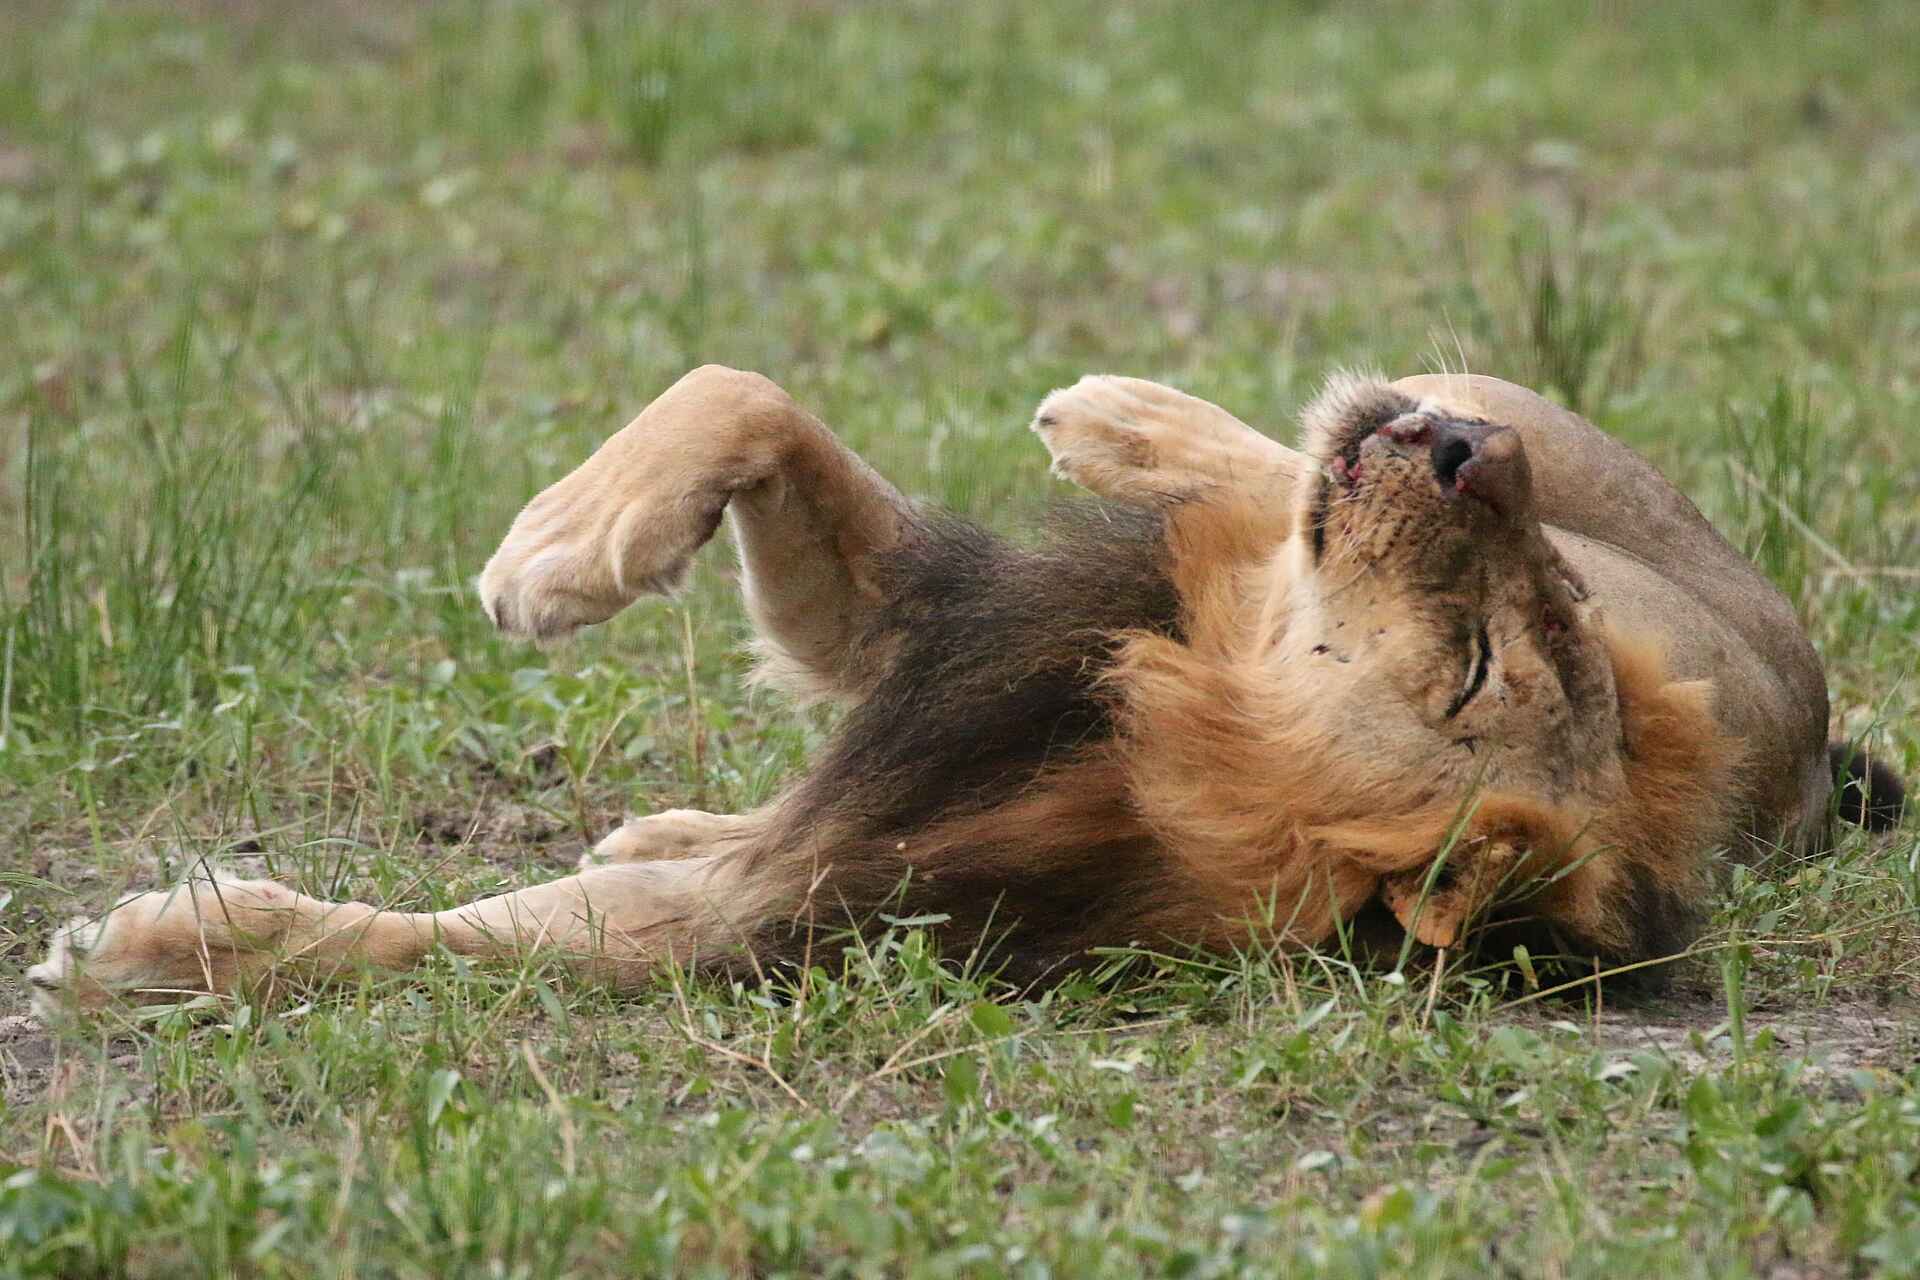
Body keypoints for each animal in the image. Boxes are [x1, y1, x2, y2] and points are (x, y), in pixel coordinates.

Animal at [27, 366, 1906, 1013]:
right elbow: (744, 394)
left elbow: (450, 940)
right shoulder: (941, 633)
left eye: (1476, 671)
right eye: (1544, 612)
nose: (1469, 463)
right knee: (1262, 443)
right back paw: (1121, 415)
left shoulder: (815, 900)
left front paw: (159, 949)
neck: (1188, 686)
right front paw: (564, 546)